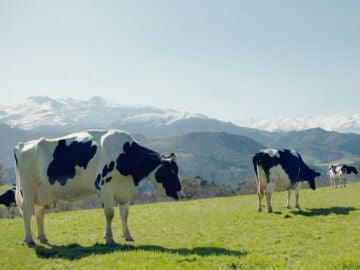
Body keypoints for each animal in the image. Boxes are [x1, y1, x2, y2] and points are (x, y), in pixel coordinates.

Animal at [15, 130, 181, 246]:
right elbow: (109, 214)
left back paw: (42, 237)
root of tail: (22, 145)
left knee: (39, 213)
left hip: (42, 193)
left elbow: (124, 214)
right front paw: (109, 239)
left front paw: (127, 236)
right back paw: (29, 239)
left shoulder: (124, 192)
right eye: (172, 171)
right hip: (28, 189)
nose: (180, 193)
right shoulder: (105, 187)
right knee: (26, 212)